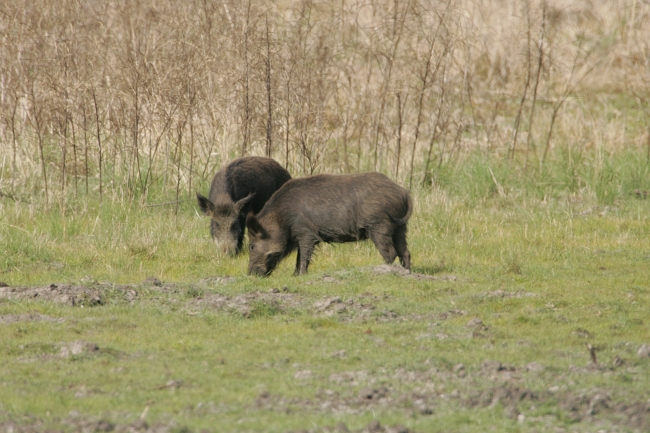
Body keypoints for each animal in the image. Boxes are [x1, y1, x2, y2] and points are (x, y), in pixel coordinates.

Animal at [246, 172, 412, 276]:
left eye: (251, 246)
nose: (250, 274)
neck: (281, 218)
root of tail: (404, 192)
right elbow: (300, 257)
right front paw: (294, 275)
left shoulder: (306, 232)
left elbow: (304, 256)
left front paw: (300, 275)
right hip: (400, 227)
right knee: (405, 252)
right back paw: (407, 272)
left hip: (379, 225)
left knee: (390, 252)